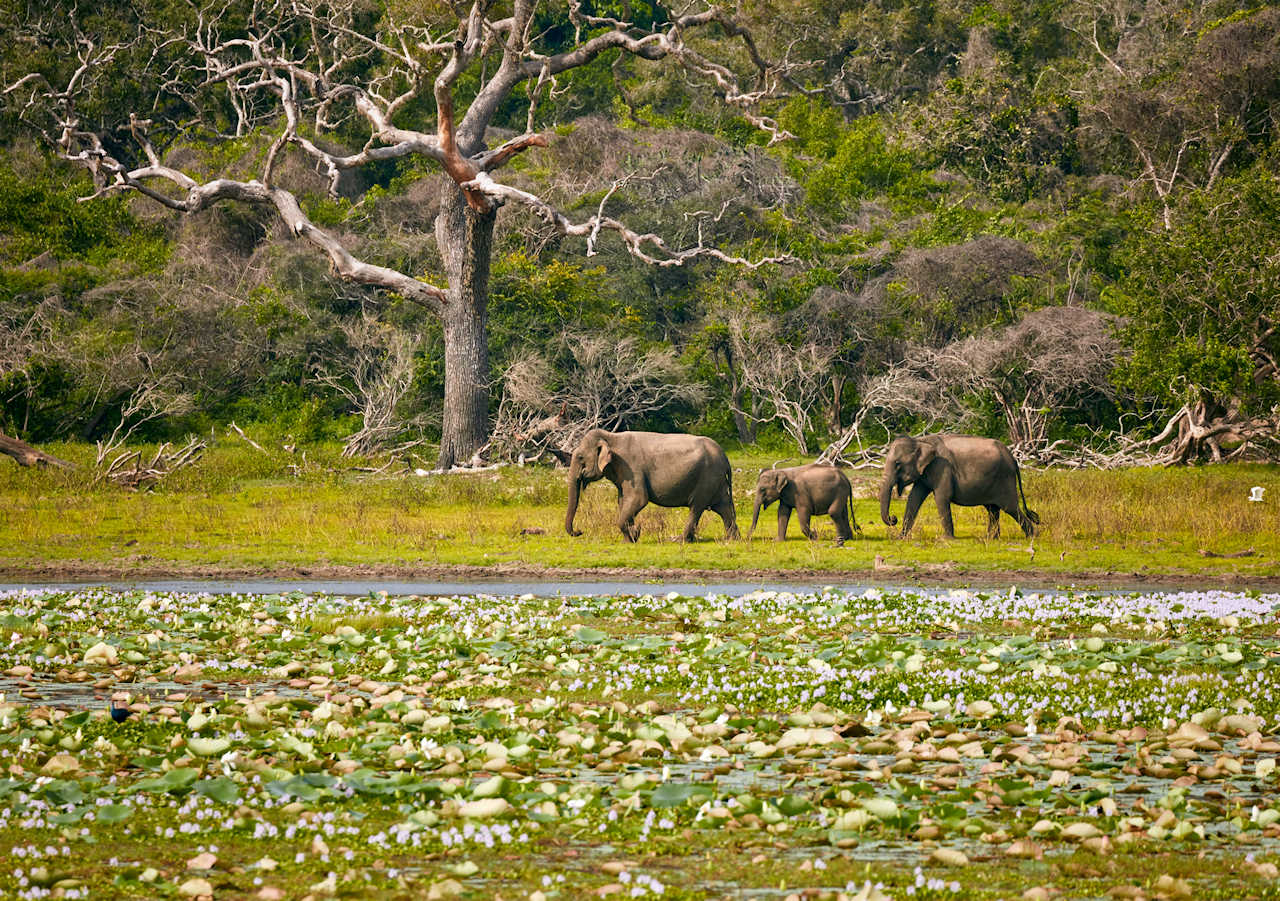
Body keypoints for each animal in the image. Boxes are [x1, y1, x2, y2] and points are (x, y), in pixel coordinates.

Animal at [557, 429, 739, 543]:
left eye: (580, 457)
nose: (579, 531)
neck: (611, 437)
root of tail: (725, 457)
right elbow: (623, 501)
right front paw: (630, 538)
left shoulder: (631, 467)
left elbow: (638, 499)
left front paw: (634, 534)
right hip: (716, 481)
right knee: (723, 507)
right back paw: (732, 539)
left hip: (706, 478)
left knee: (696, 507)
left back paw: (679, 540)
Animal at [879, 434, 1040, 539]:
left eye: (897, 464)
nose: (893, 518)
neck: (920, 441)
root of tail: (1013, 457)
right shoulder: (925, 472)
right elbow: (914, 498)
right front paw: (901, 538)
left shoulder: (942, 467)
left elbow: (942, 497)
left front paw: (947, 540)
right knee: (993, 509)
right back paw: (991, 538)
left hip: (1004, 479)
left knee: (1010, 508)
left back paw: (1032, 536)